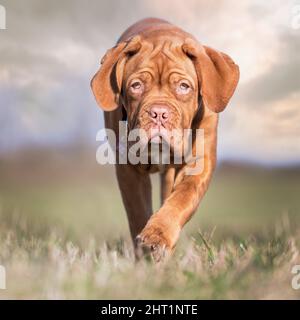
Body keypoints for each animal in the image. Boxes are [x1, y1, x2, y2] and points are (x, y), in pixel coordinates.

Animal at [91, 17, 239, 262]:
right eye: (136, 85)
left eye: (184, 87)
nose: (159, 113)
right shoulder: (128, 170)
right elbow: (138, 211)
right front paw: (145, 253)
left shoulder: (199, 164)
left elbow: (181, 199)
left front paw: (157, 236)